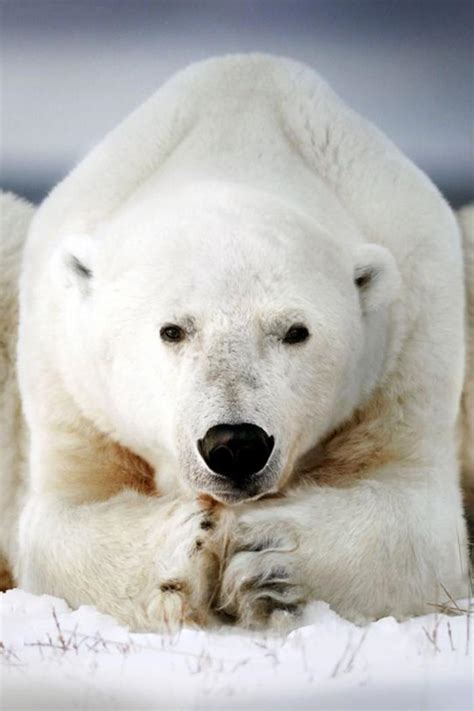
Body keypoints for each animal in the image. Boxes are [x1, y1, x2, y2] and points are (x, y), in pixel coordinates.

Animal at [0, 57, 472, 636]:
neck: (238, 138)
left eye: (295, 331)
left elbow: (419, 515)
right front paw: (186, 547)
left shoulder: (409, 346)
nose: (235, 444)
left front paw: (267, 557)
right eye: (173, 330)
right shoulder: (70, 383)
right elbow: (60, 518)